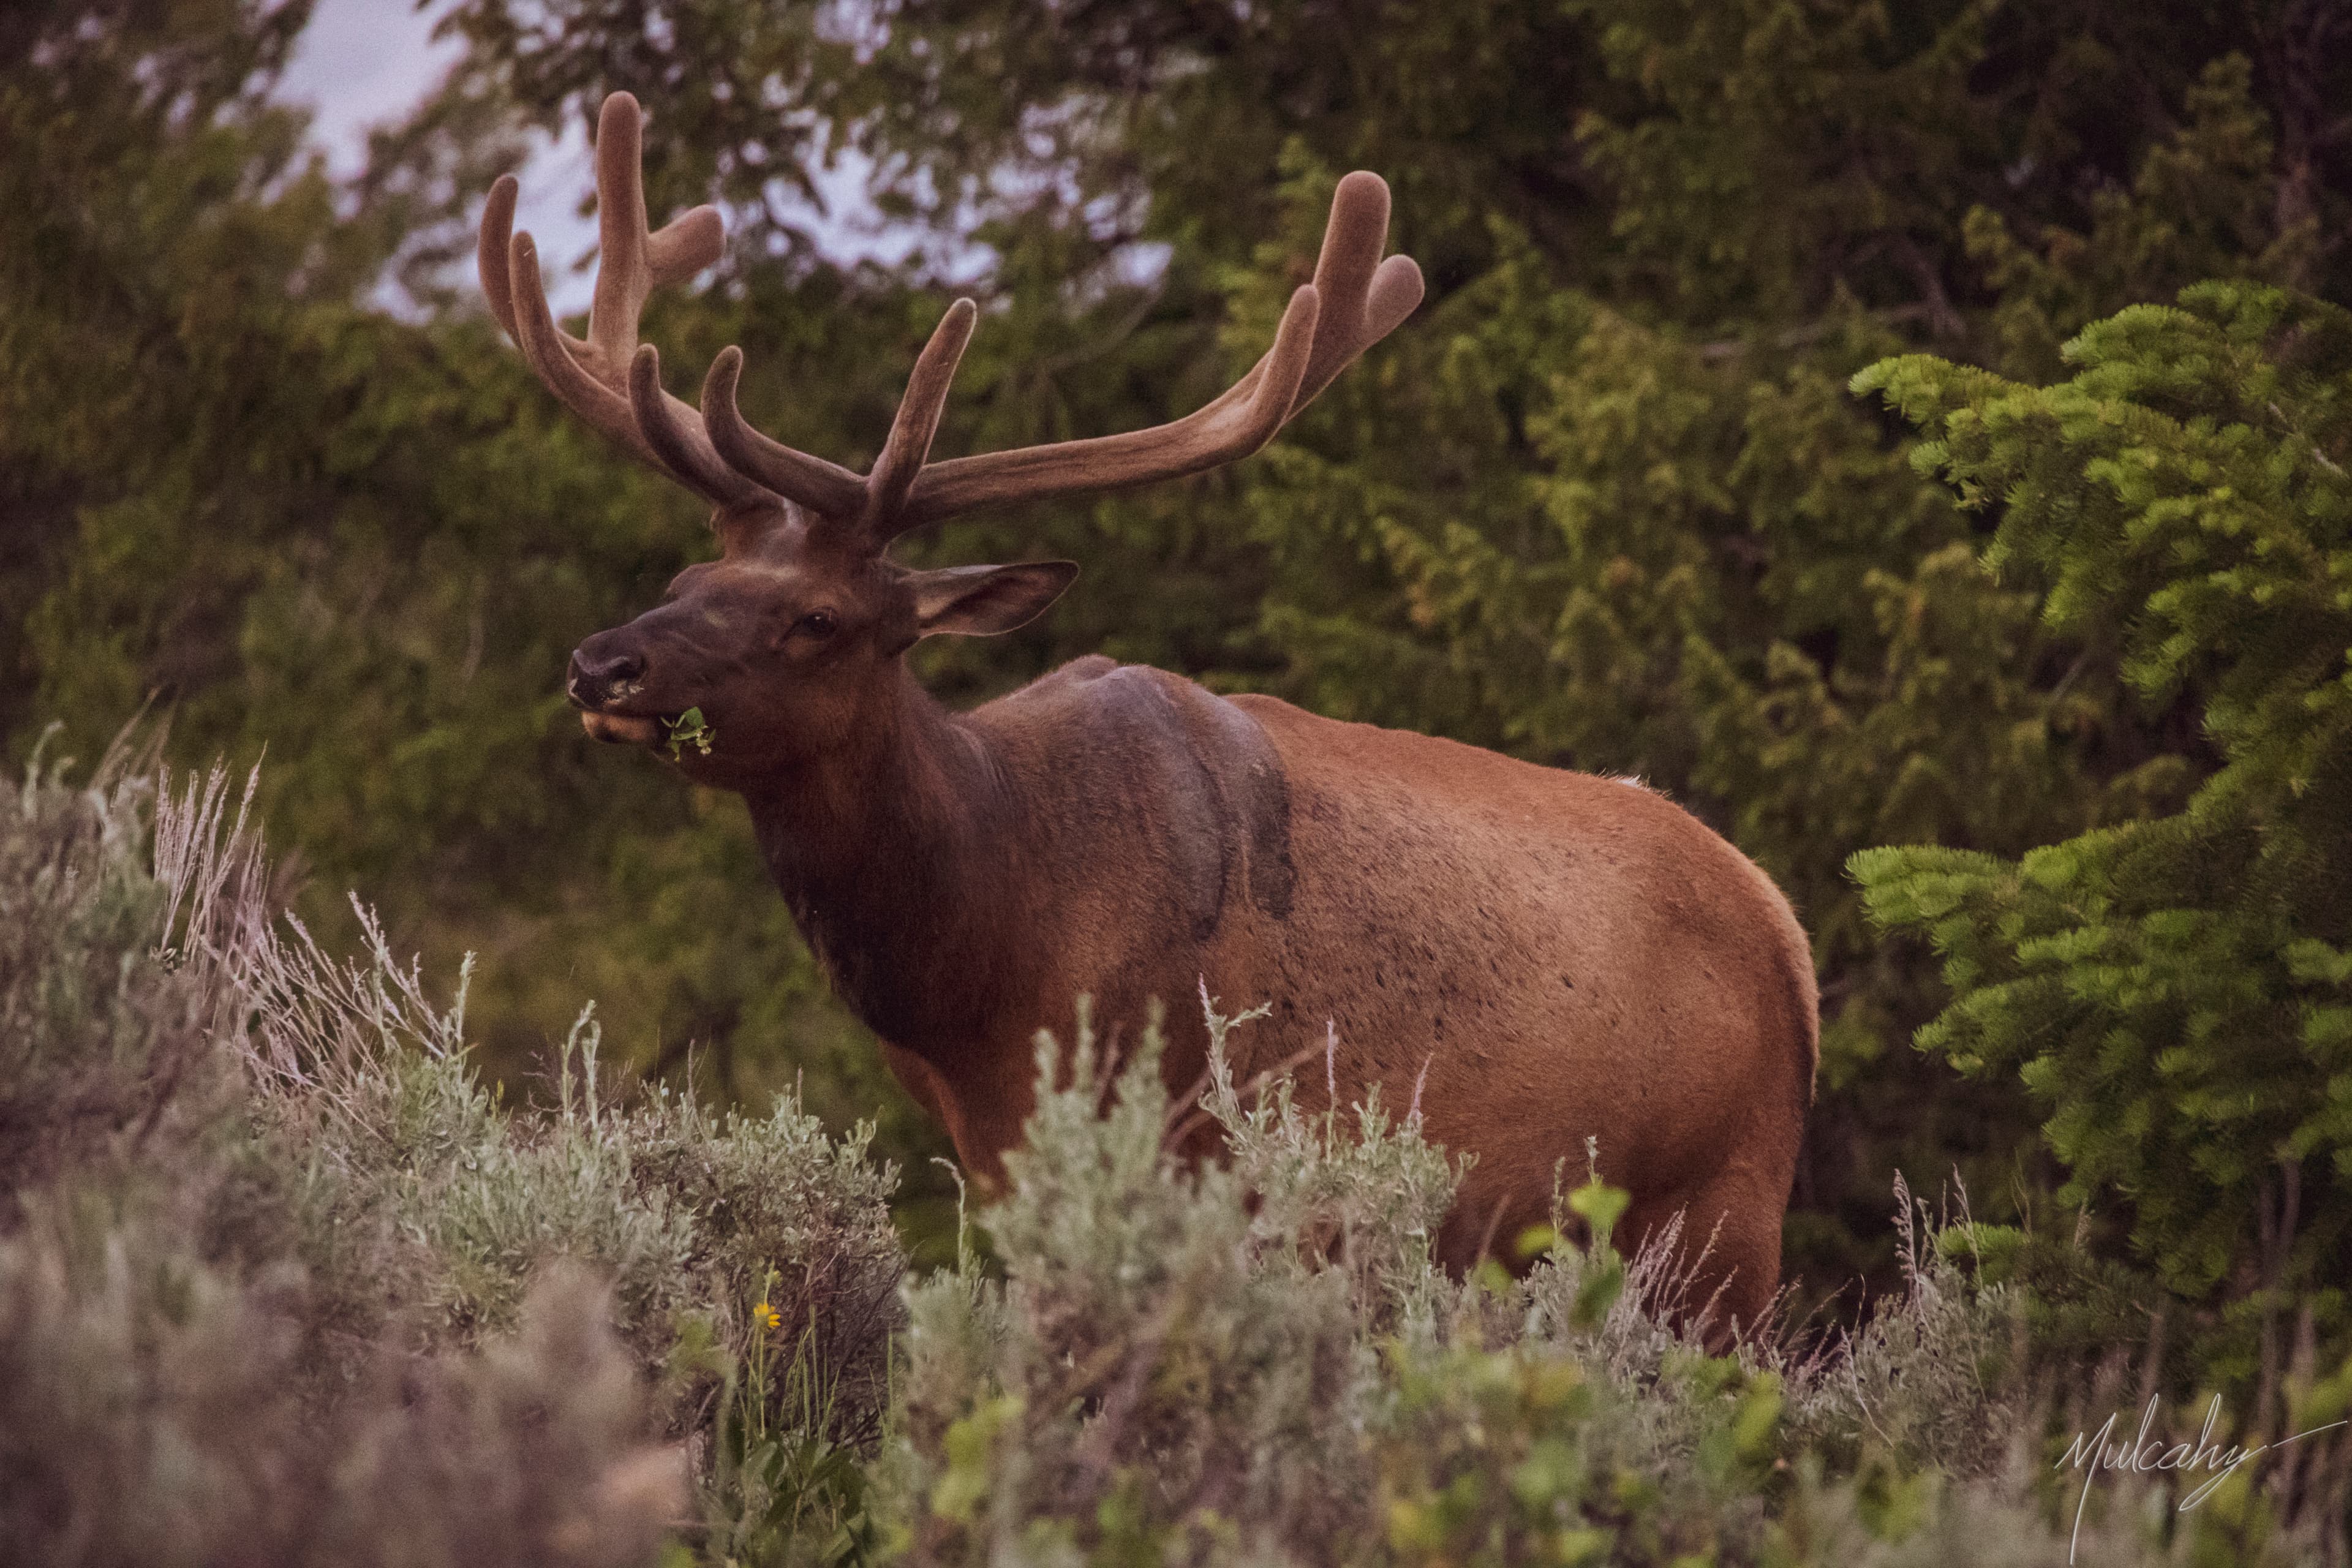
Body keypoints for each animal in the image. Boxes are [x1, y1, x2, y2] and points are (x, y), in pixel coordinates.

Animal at [481, 93, 1818, 1339]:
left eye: (817, 617)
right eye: (684, 578)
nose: (601, 664)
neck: (981, 959)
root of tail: (1788, 934)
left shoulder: (1188, 1134)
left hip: (1721, 1214)